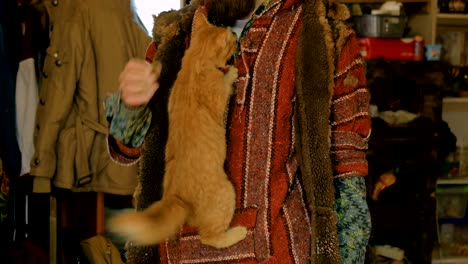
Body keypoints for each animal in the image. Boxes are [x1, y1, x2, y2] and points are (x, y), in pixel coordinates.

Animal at [105, 11, 245, 249]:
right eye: (231, 37)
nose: (236, 34)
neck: (196, 62)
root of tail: (177, 197)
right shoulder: (218, 93)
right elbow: (225, 82)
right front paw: (232, 72)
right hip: (227, 194)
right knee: (210, 238)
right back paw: (239, 232)